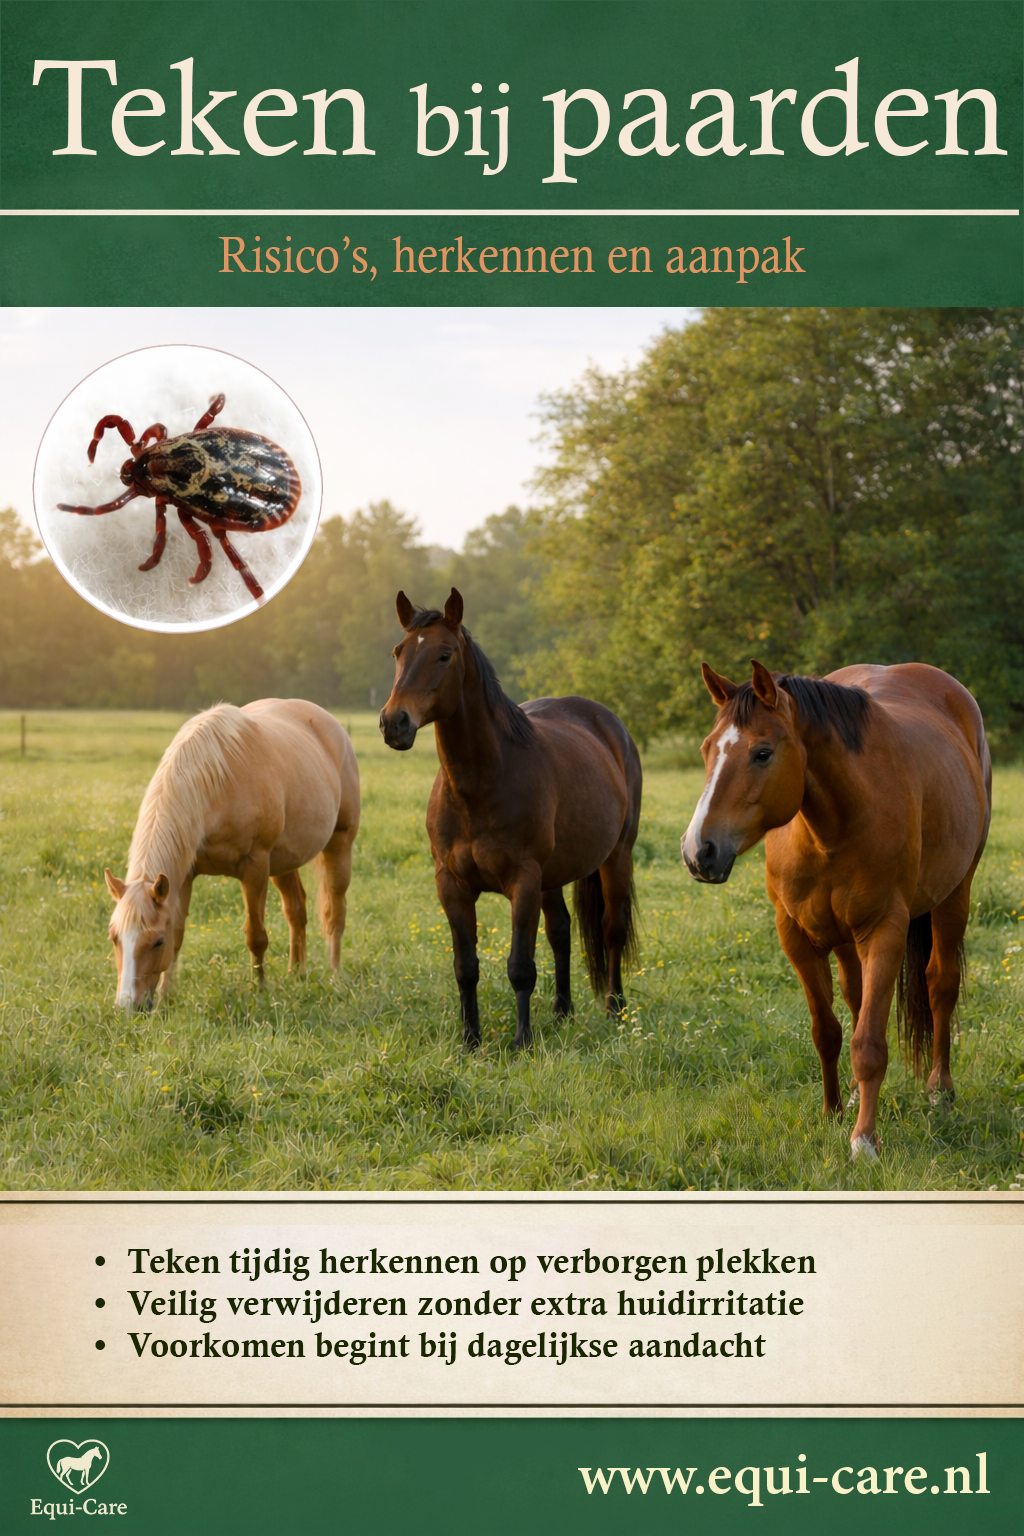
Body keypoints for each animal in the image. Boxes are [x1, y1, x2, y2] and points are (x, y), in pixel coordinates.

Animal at [105, 699, 360, 1009]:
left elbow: (256, 935)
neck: (215, 785)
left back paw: (334, 976)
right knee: (296, 911)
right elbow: (179, 933)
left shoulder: (255, 867)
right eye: (114, 938)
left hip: (339, 845)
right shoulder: (183, 876)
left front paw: (260, 990)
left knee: (335, 913)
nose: (128, 1006)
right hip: (285, 861)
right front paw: (168, 996)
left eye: (157, 942)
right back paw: (296, 974)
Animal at [379, 589, 642, 1049]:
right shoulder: (451, 885)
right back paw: (562, 1012)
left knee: (612, 928)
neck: (481, 785)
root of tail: (610, 725)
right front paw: (470, 1039)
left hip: (616, 858)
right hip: (555, 876)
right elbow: (466, 967)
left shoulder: (524, 880)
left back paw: (615, 1009)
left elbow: (520, 966)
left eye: (444, 655)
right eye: (399, 652)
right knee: (561, 932)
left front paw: (522, 1041)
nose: (395, 722)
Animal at [682, 659, 991, 1159]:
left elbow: (869, 1044)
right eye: (708, 748)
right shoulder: (795, 936)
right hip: (844, 938)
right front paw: (832, 1112)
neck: (832, 825)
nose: (698, 852)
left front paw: (864, 1140)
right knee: (856, 996)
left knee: (941, 986)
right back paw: (853, 1092)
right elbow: (826, 1032)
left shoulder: (884, 931)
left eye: (762, 753)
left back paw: (939, 1091)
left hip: (954, 896)